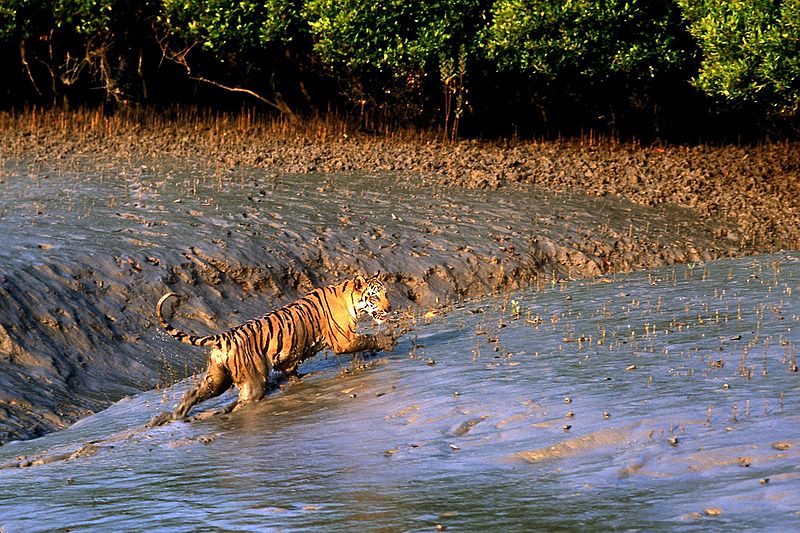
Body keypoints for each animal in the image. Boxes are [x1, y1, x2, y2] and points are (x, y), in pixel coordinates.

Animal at [148, 272, 396, 426]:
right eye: (375, 296)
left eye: (386, 293)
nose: (390, 308)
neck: (350, 299)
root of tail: (225, 337)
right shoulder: (343, 340)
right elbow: (368, 339)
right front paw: (388, 341)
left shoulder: (290, 355)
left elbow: (291, 369)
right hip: (253, 381)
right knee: (242, 403)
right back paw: (218, 413)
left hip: (218, 378)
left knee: (193, 393)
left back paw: (173, 416)